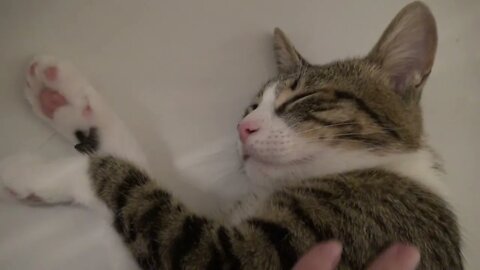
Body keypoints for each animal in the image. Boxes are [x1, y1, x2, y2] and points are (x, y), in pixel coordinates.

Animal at [0, 2, 464, 270]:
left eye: (302, 99)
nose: (243, 128)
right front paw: (66, 101)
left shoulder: (231, 256)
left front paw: (35, 172)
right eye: (251, 106)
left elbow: (134, 192)